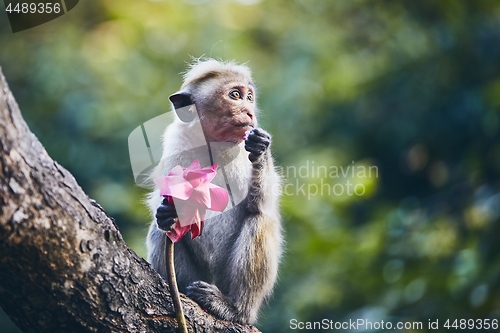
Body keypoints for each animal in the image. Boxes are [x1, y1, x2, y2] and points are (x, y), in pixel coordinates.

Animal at [146, 58, 284, 322]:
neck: (212, 145)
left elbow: (261, 205)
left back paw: (235, 309)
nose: (249, 112)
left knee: (259, 220)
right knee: (161, 232)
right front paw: (166, 213)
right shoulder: (176, 143)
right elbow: (165, 201)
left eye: (249, 97)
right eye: (235, 95)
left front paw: (261, 149)